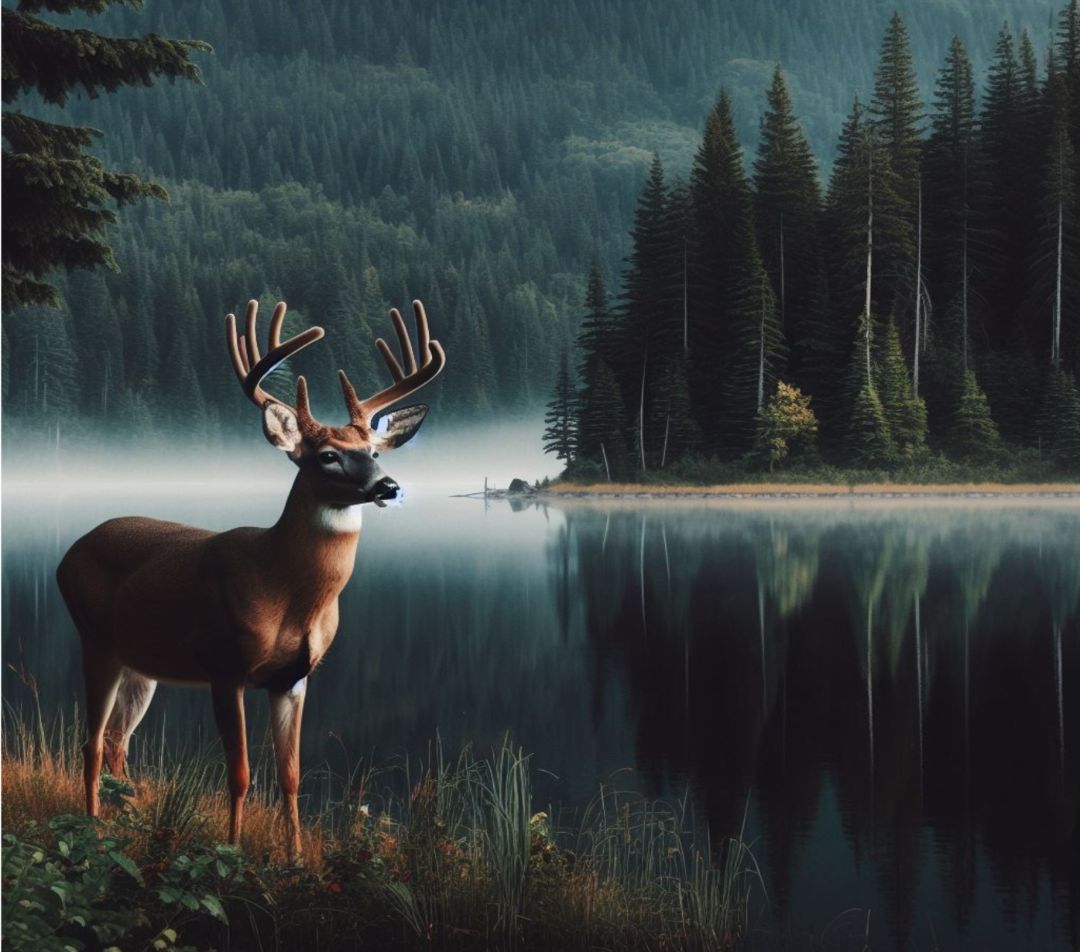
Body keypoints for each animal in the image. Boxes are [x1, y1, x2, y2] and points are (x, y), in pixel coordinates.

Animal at [56, 298, 445, 859]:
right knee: (89, 741)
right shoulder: (225, 665)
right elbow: (239, 774)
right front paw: (233, 851)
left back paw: (128, 823)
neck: (285, 587)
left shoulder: (295, 678)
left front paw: (297, 858)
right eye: (328, 455)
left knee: (116, 742)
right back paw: (92, 828)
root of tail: (68, 553)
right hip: (96, 642)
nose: (388, 486)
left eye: (374, 450)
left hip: (142, 665)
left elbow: (291, 776)